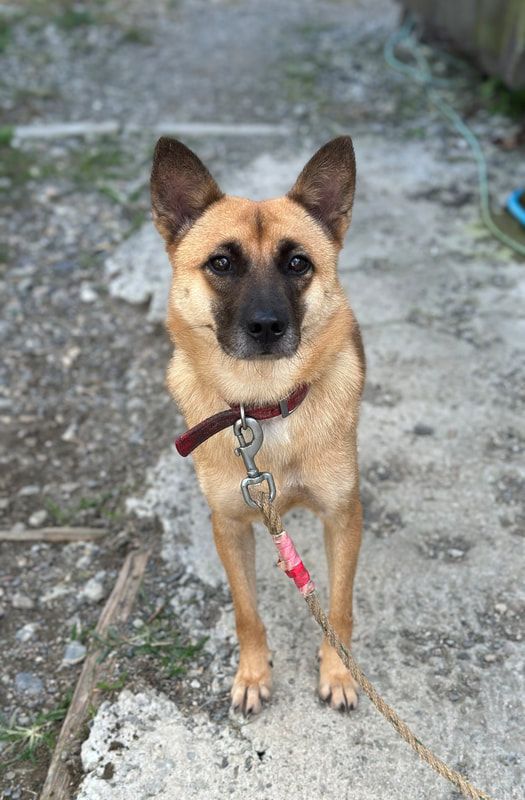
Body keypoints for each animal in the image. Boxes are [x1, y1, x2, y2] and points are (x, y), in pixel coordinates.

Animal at [150, 134, 364, 716]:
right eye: (222, 262)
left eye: (298, 263)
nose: (267, 327)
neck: (264, 405)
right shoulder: (229, 524)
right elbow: (246, 612)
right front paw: (251, 673)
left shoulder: (343, 517)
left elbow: (338, 609)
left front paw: (338, 671)